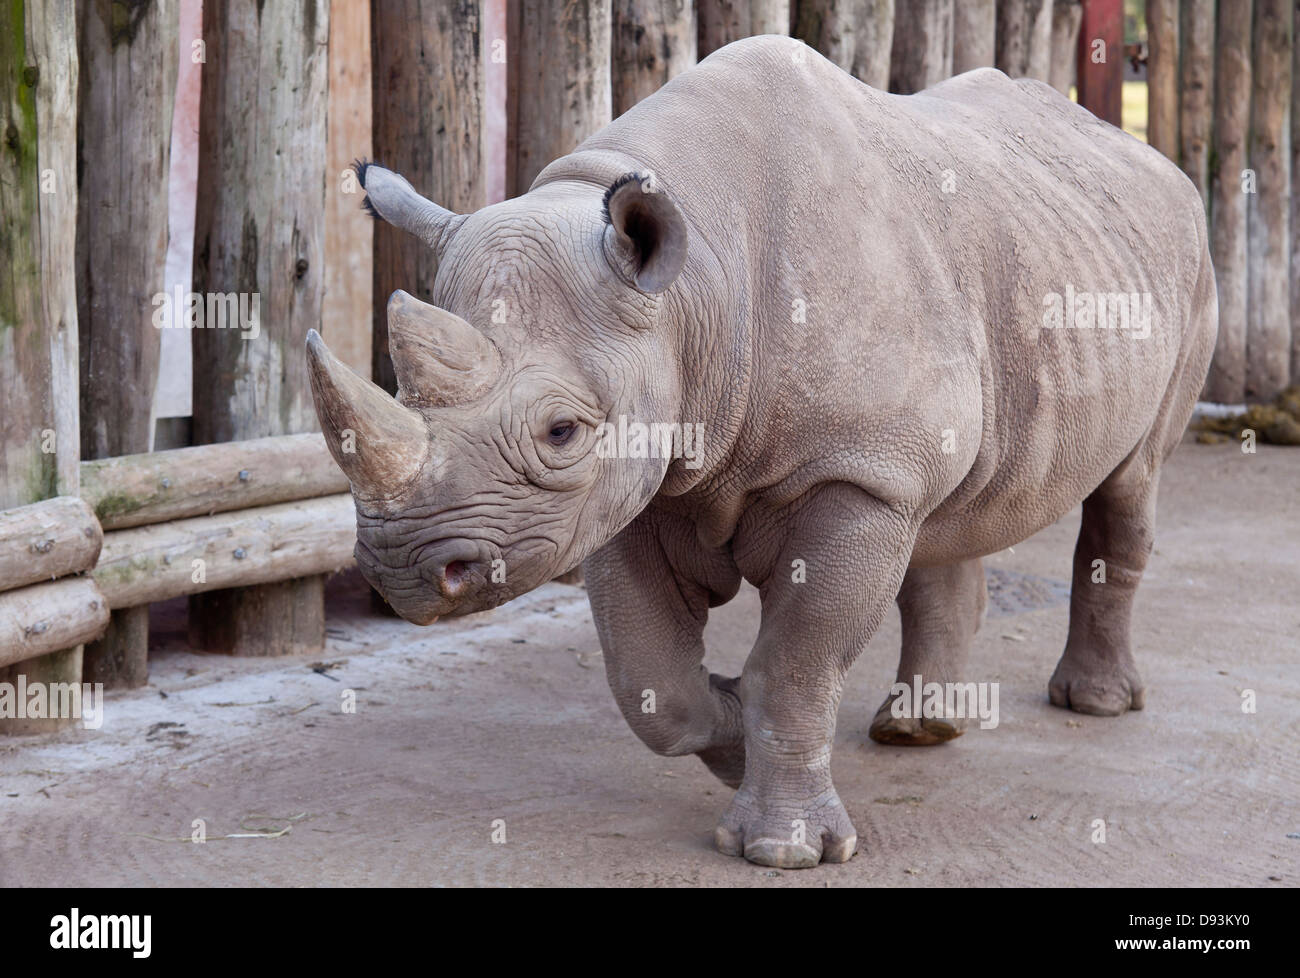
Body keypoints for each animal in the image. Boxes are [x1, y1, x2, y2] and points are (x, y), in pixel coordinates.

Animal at [306, 36, 1217, 869]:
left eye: (561, 432)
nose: (400, 570)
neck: (696, 291)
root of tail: (1139, 151)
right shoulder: (645, 478)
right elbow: (649, 682)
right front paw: (733, 736)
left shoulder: (856, 473)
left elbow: (797, 659)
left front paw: (785, 848)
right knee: (948, 508)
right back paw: (919, 731)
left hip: (1182, 261)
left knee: (1130, 484)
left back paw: (1093, 705)